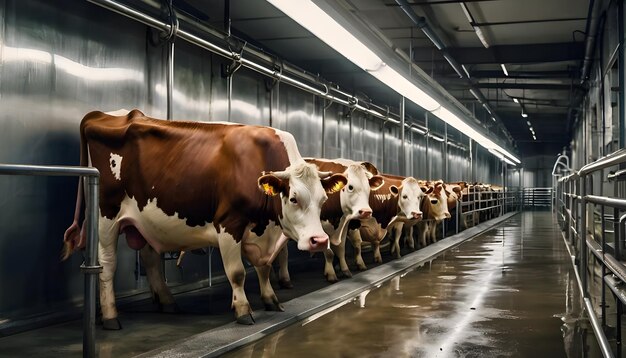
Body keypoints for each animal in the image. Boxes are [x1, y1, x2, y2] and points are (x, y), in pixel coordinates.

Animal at [62, 108, 346, 328]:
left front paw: (270, 300)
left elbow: (264, 267)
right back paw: (111, 316)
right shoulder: (229, 223)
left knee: (150, 258)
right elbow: (237, 272)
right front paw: (243, 310)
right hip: (106, 215)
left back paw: (166, 303)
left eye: (323, 200)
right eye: (294, 198)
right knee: (107, 264)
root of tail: (102, 114)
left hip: (144, 221)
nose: (319, 240)